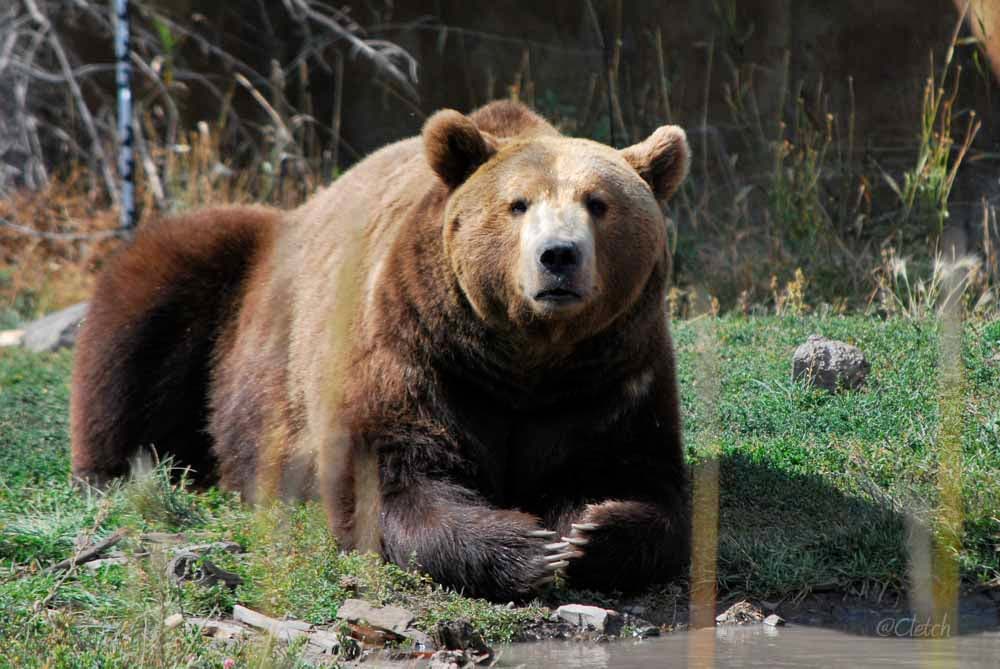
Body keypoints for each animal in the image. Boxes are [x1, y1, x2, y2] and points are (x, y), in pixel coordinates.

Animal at [71, 100, 691, 601]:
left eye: (598, 203)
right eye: (518, 204)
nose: (558, 255)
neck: (525, 357)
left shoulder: (607, 377)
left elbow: (636, 475)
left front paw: (589, 533)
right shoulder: (415, 351)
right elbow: (391, 474)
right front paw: (528, 546)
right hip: (230, 284)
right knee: (142, 314)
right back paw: (115, 471)